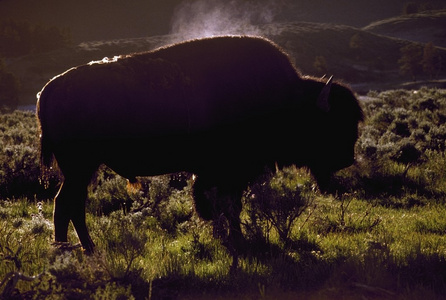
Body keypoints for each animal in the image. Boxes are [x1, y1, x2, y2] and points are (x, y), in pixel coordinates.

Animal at [36, 35, 364, 268]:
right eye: (332, 124)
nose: (347, 158)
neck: (285, 98)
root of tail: (49, 88)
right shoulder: (225, 172)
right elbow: (223, 206)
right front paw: (235, 240)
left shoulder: (221, 174)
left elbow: (227, 206)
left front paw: (233, 239)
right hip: (80, 167)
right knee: (66, 204)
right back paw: (77, 253)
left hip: (81, 169)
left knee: (70, 205)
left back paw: (79, 251)